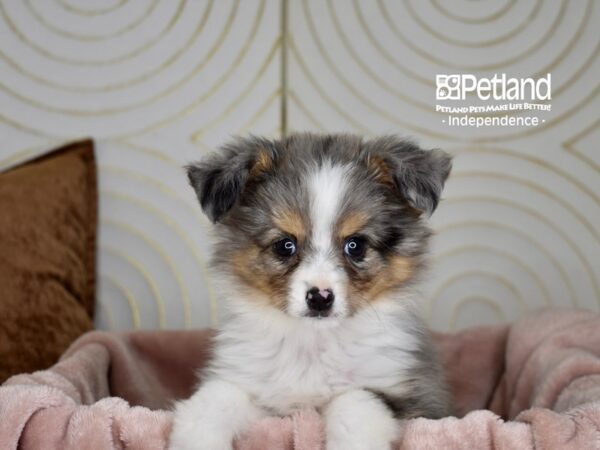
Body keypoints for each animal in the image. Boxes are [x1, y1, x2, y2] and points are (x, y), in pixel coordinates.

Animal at [168, 134, 450, 450]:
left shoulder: (408, 393)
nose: (320, 298)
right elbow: (212, 401)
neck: (312, 344)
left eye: (356, 245)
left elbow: (355, 406)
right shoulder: (260, 397)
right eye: (285, 245)